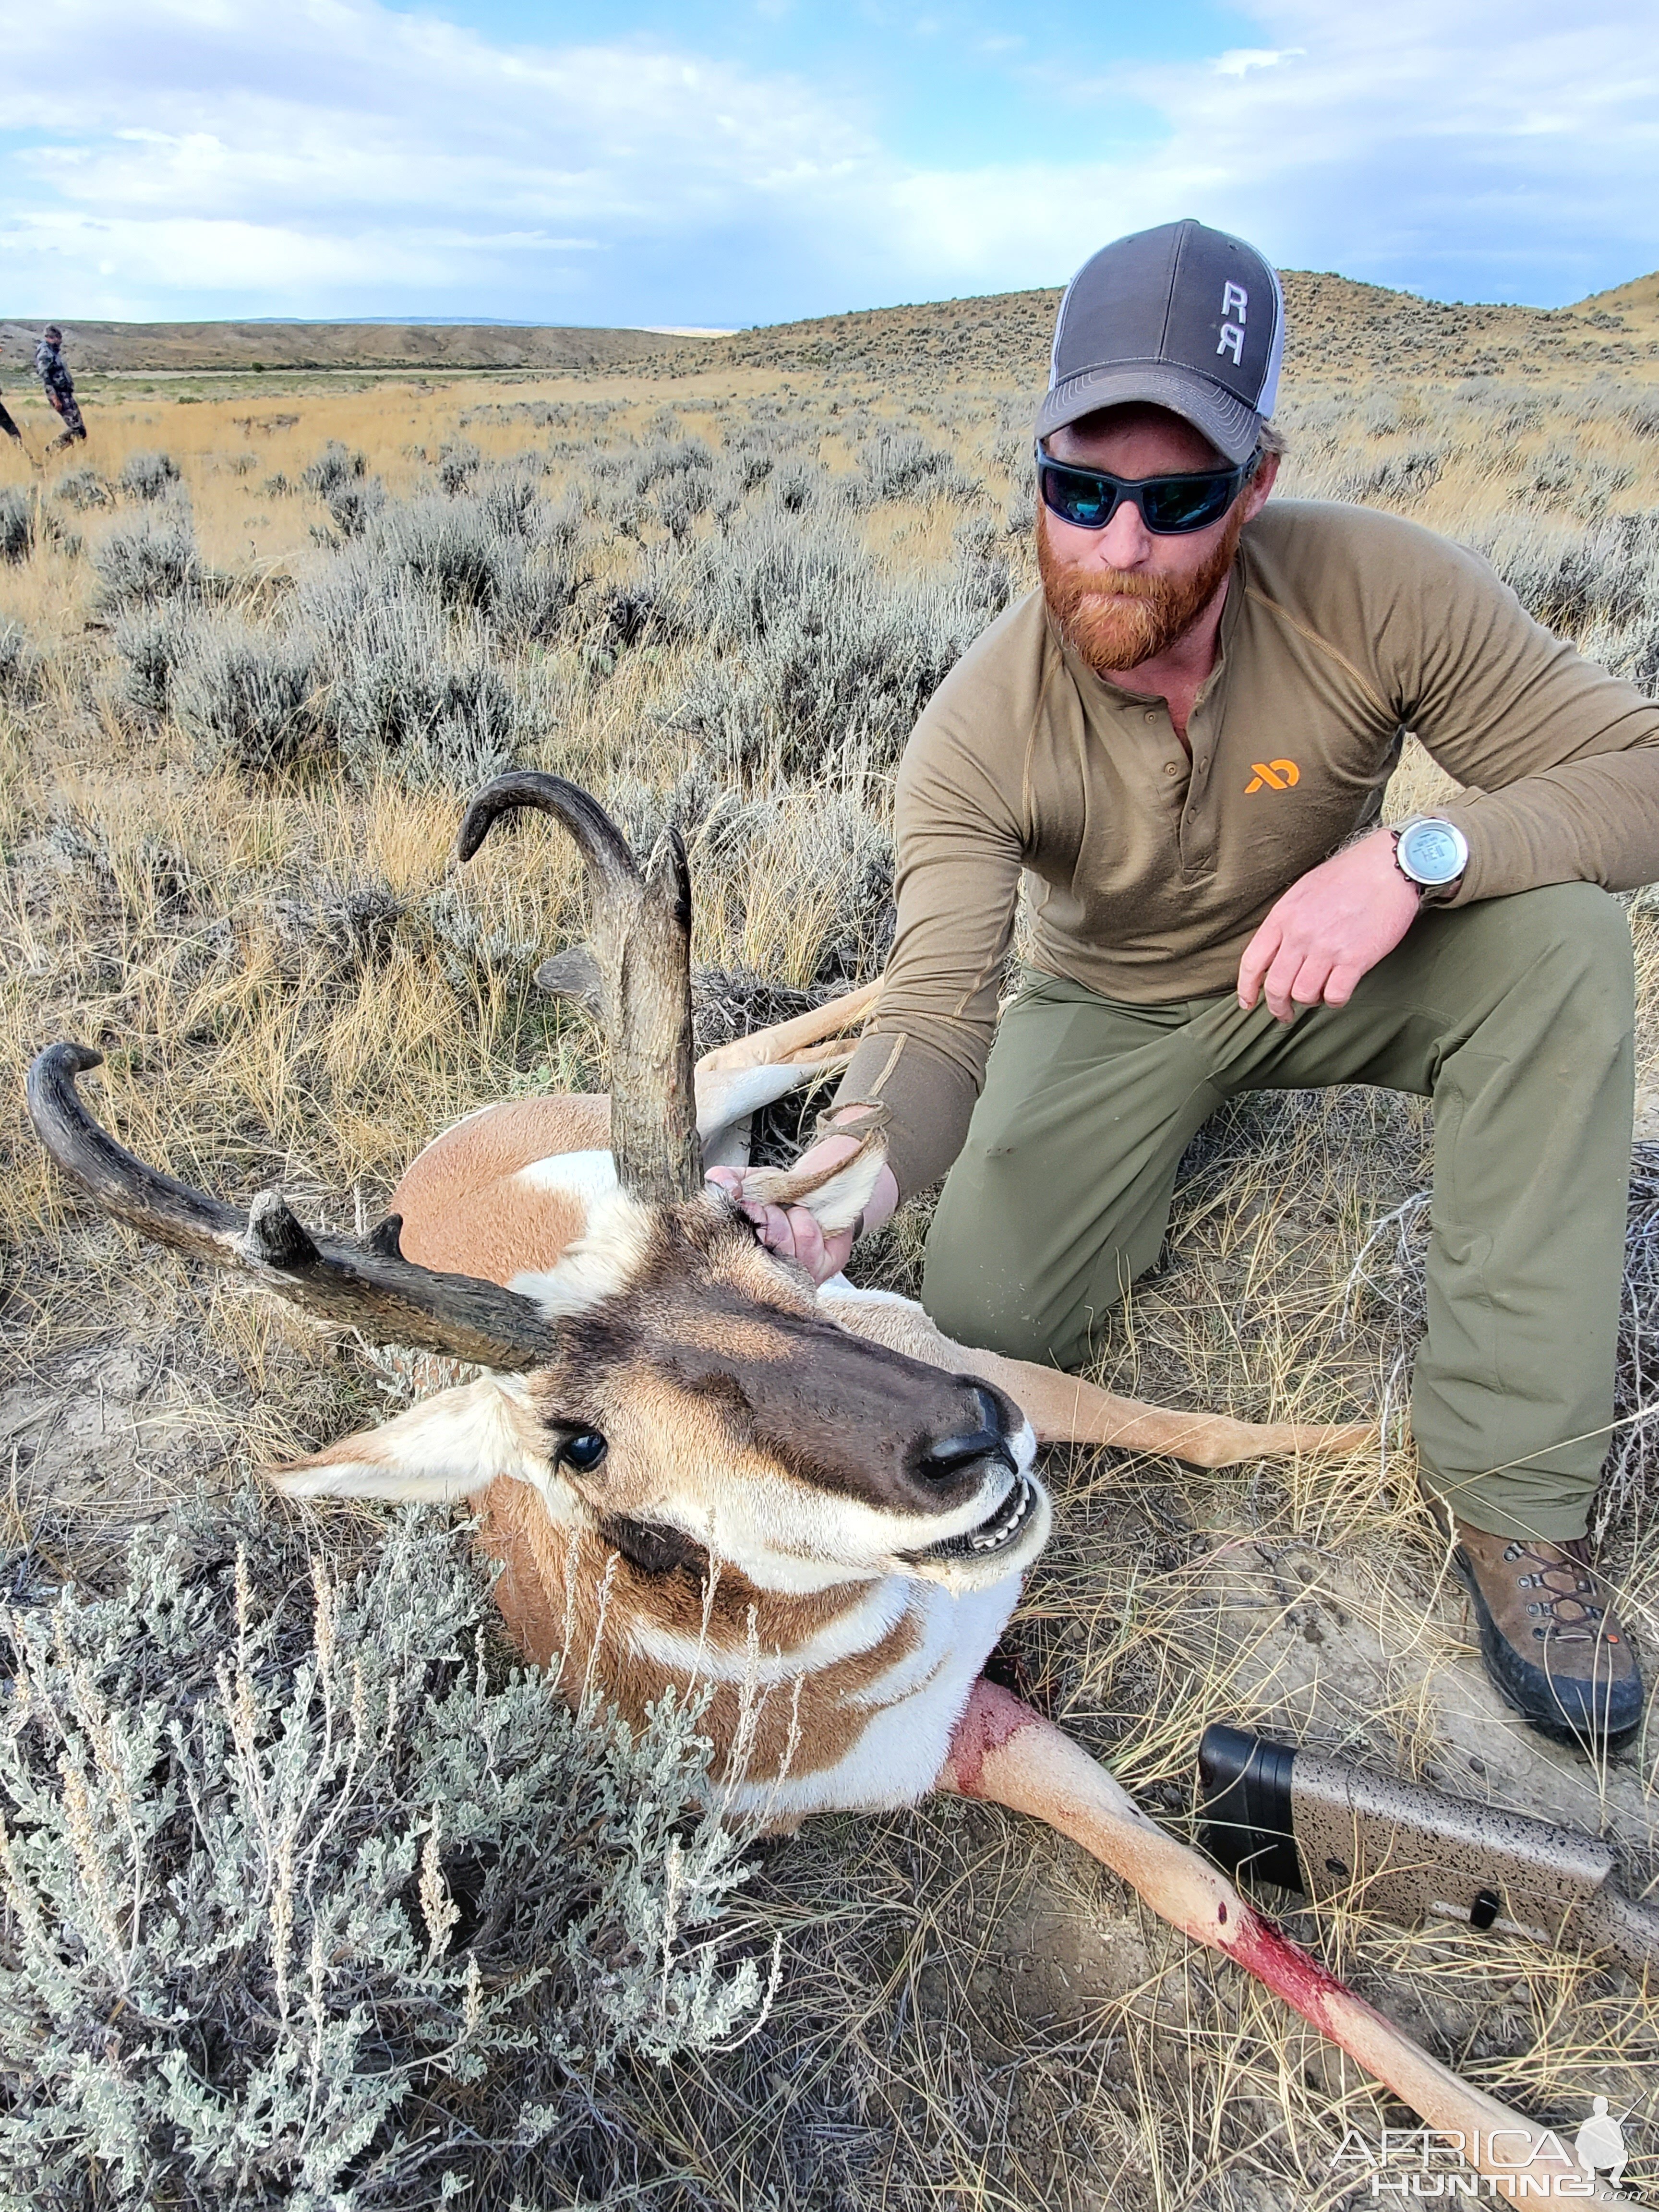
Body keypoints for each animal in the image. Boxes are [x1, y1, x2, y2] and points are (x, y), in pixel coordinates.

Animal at [29, 774, 1628, 2194]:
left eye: (738, 1245)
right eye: (577, 1442)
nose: (968, 1443)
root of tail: (435, 1166)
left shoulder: (947, 1348)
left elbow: (1184, 1436)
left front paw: (1390, 1455)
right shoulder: (978, 1734)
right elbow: (1211, 1897)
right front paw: (1551, 2161)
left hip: (755, 1128)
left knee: (810, 1037)